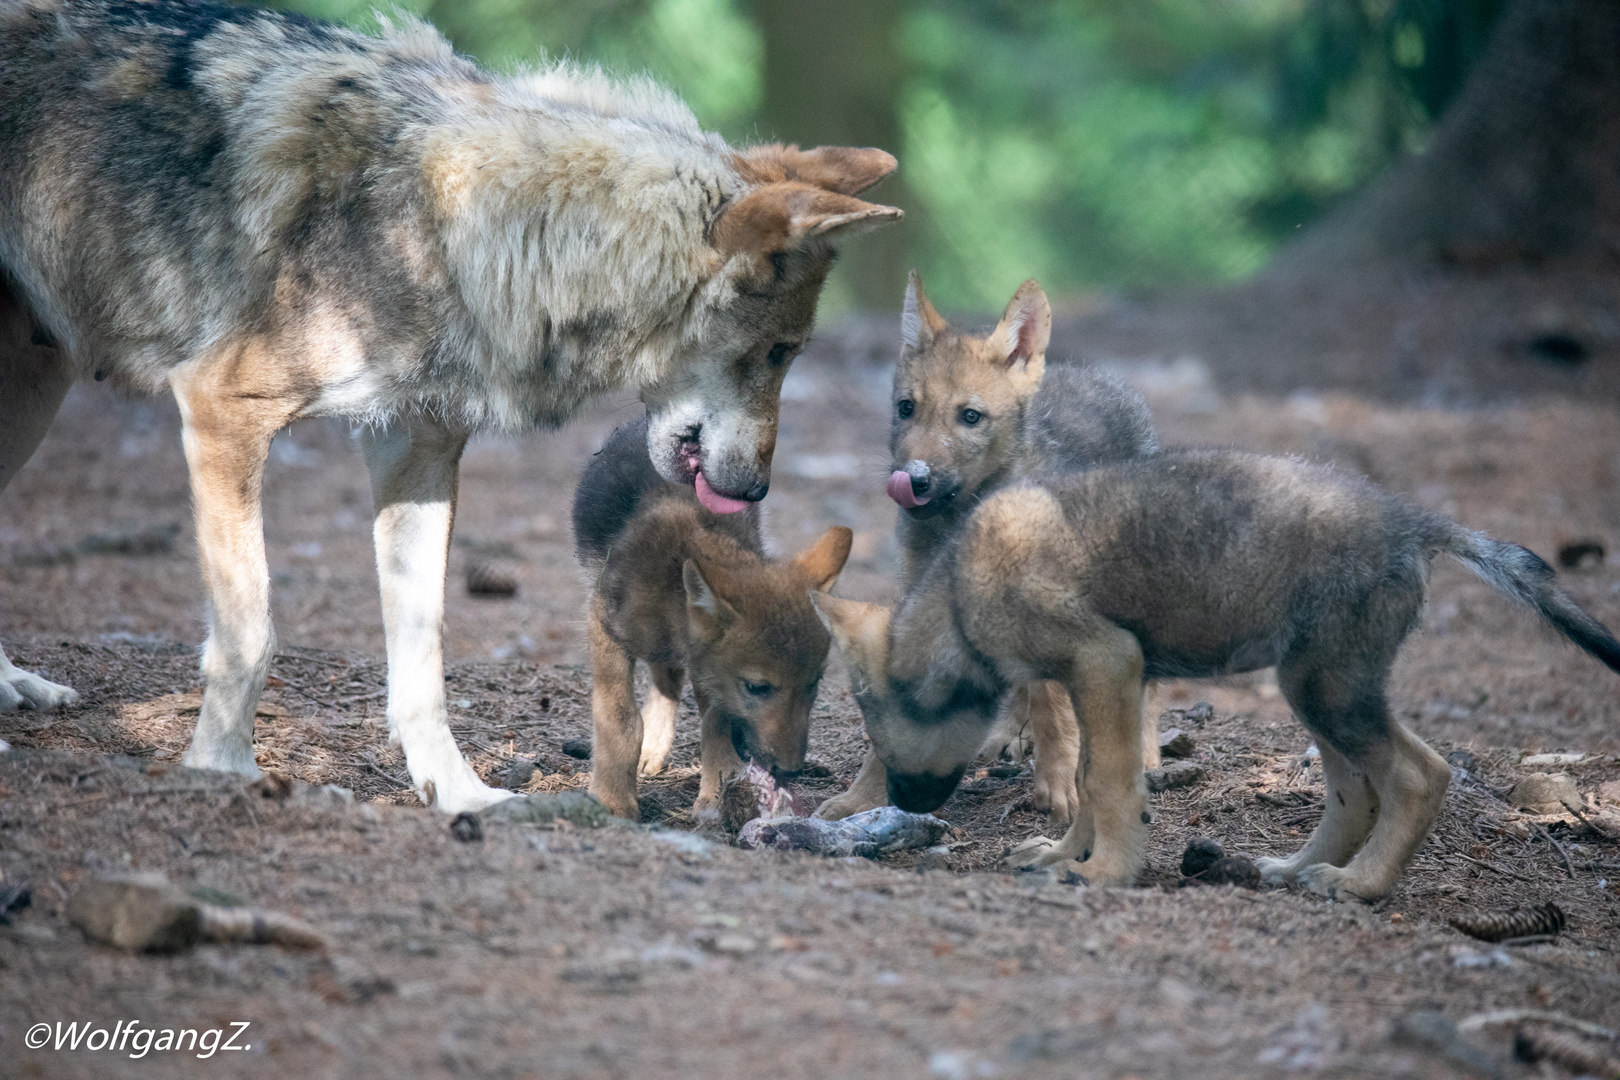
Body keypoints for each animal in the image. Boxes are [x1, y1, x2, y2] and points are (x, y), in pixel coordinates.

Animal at [0, 0, 900, 809]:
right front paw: (224, 770)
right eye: (780, 351)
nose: (755, 492)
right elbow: (250, 635)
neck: (452, 226)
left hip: (35, 394)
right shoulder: (224, 409)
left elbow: (423, 654)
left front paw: (459, 794)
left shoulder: (418, 452)